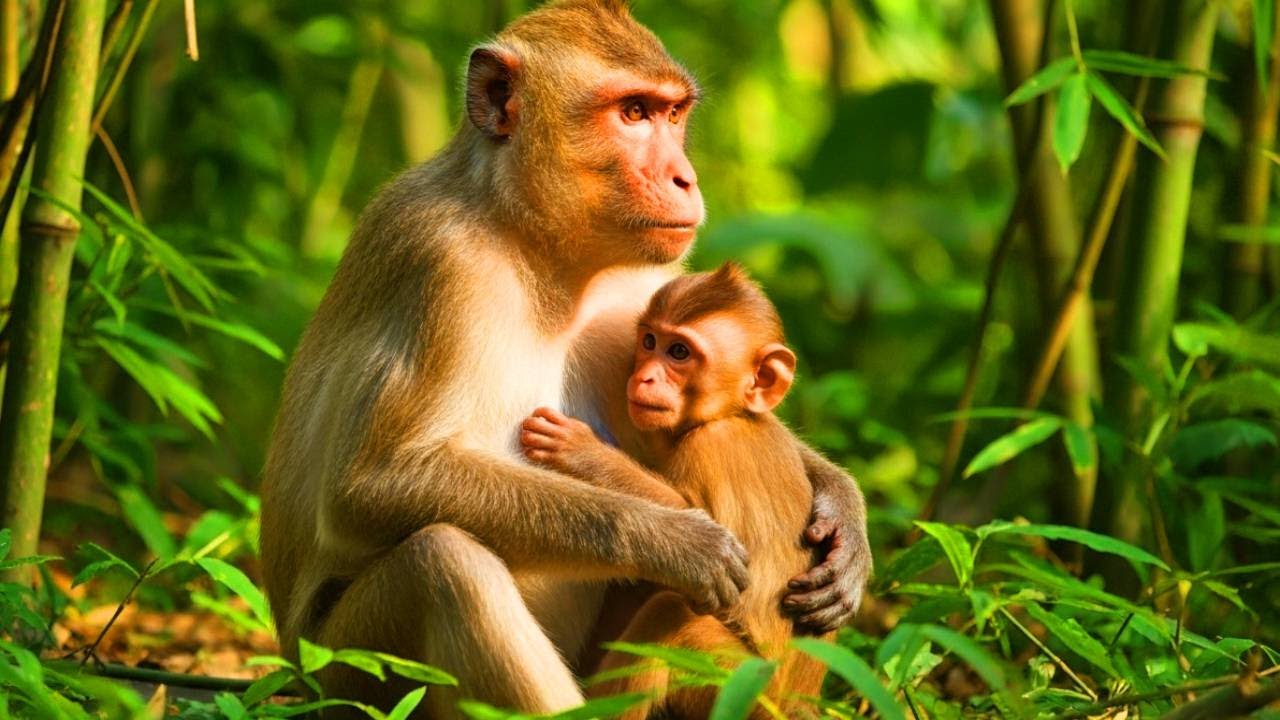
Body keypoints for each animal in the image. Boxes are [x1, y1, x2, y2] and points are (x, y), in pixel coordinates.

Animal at [520, 264, 836, 719]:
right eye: (650, 342)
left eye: (680, 353)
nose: (644, 375)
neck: (730, 414)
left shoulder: (711, 449)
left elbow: (716, 543)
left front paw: (584, 452)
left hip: (740, 690)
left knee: (668, 612)